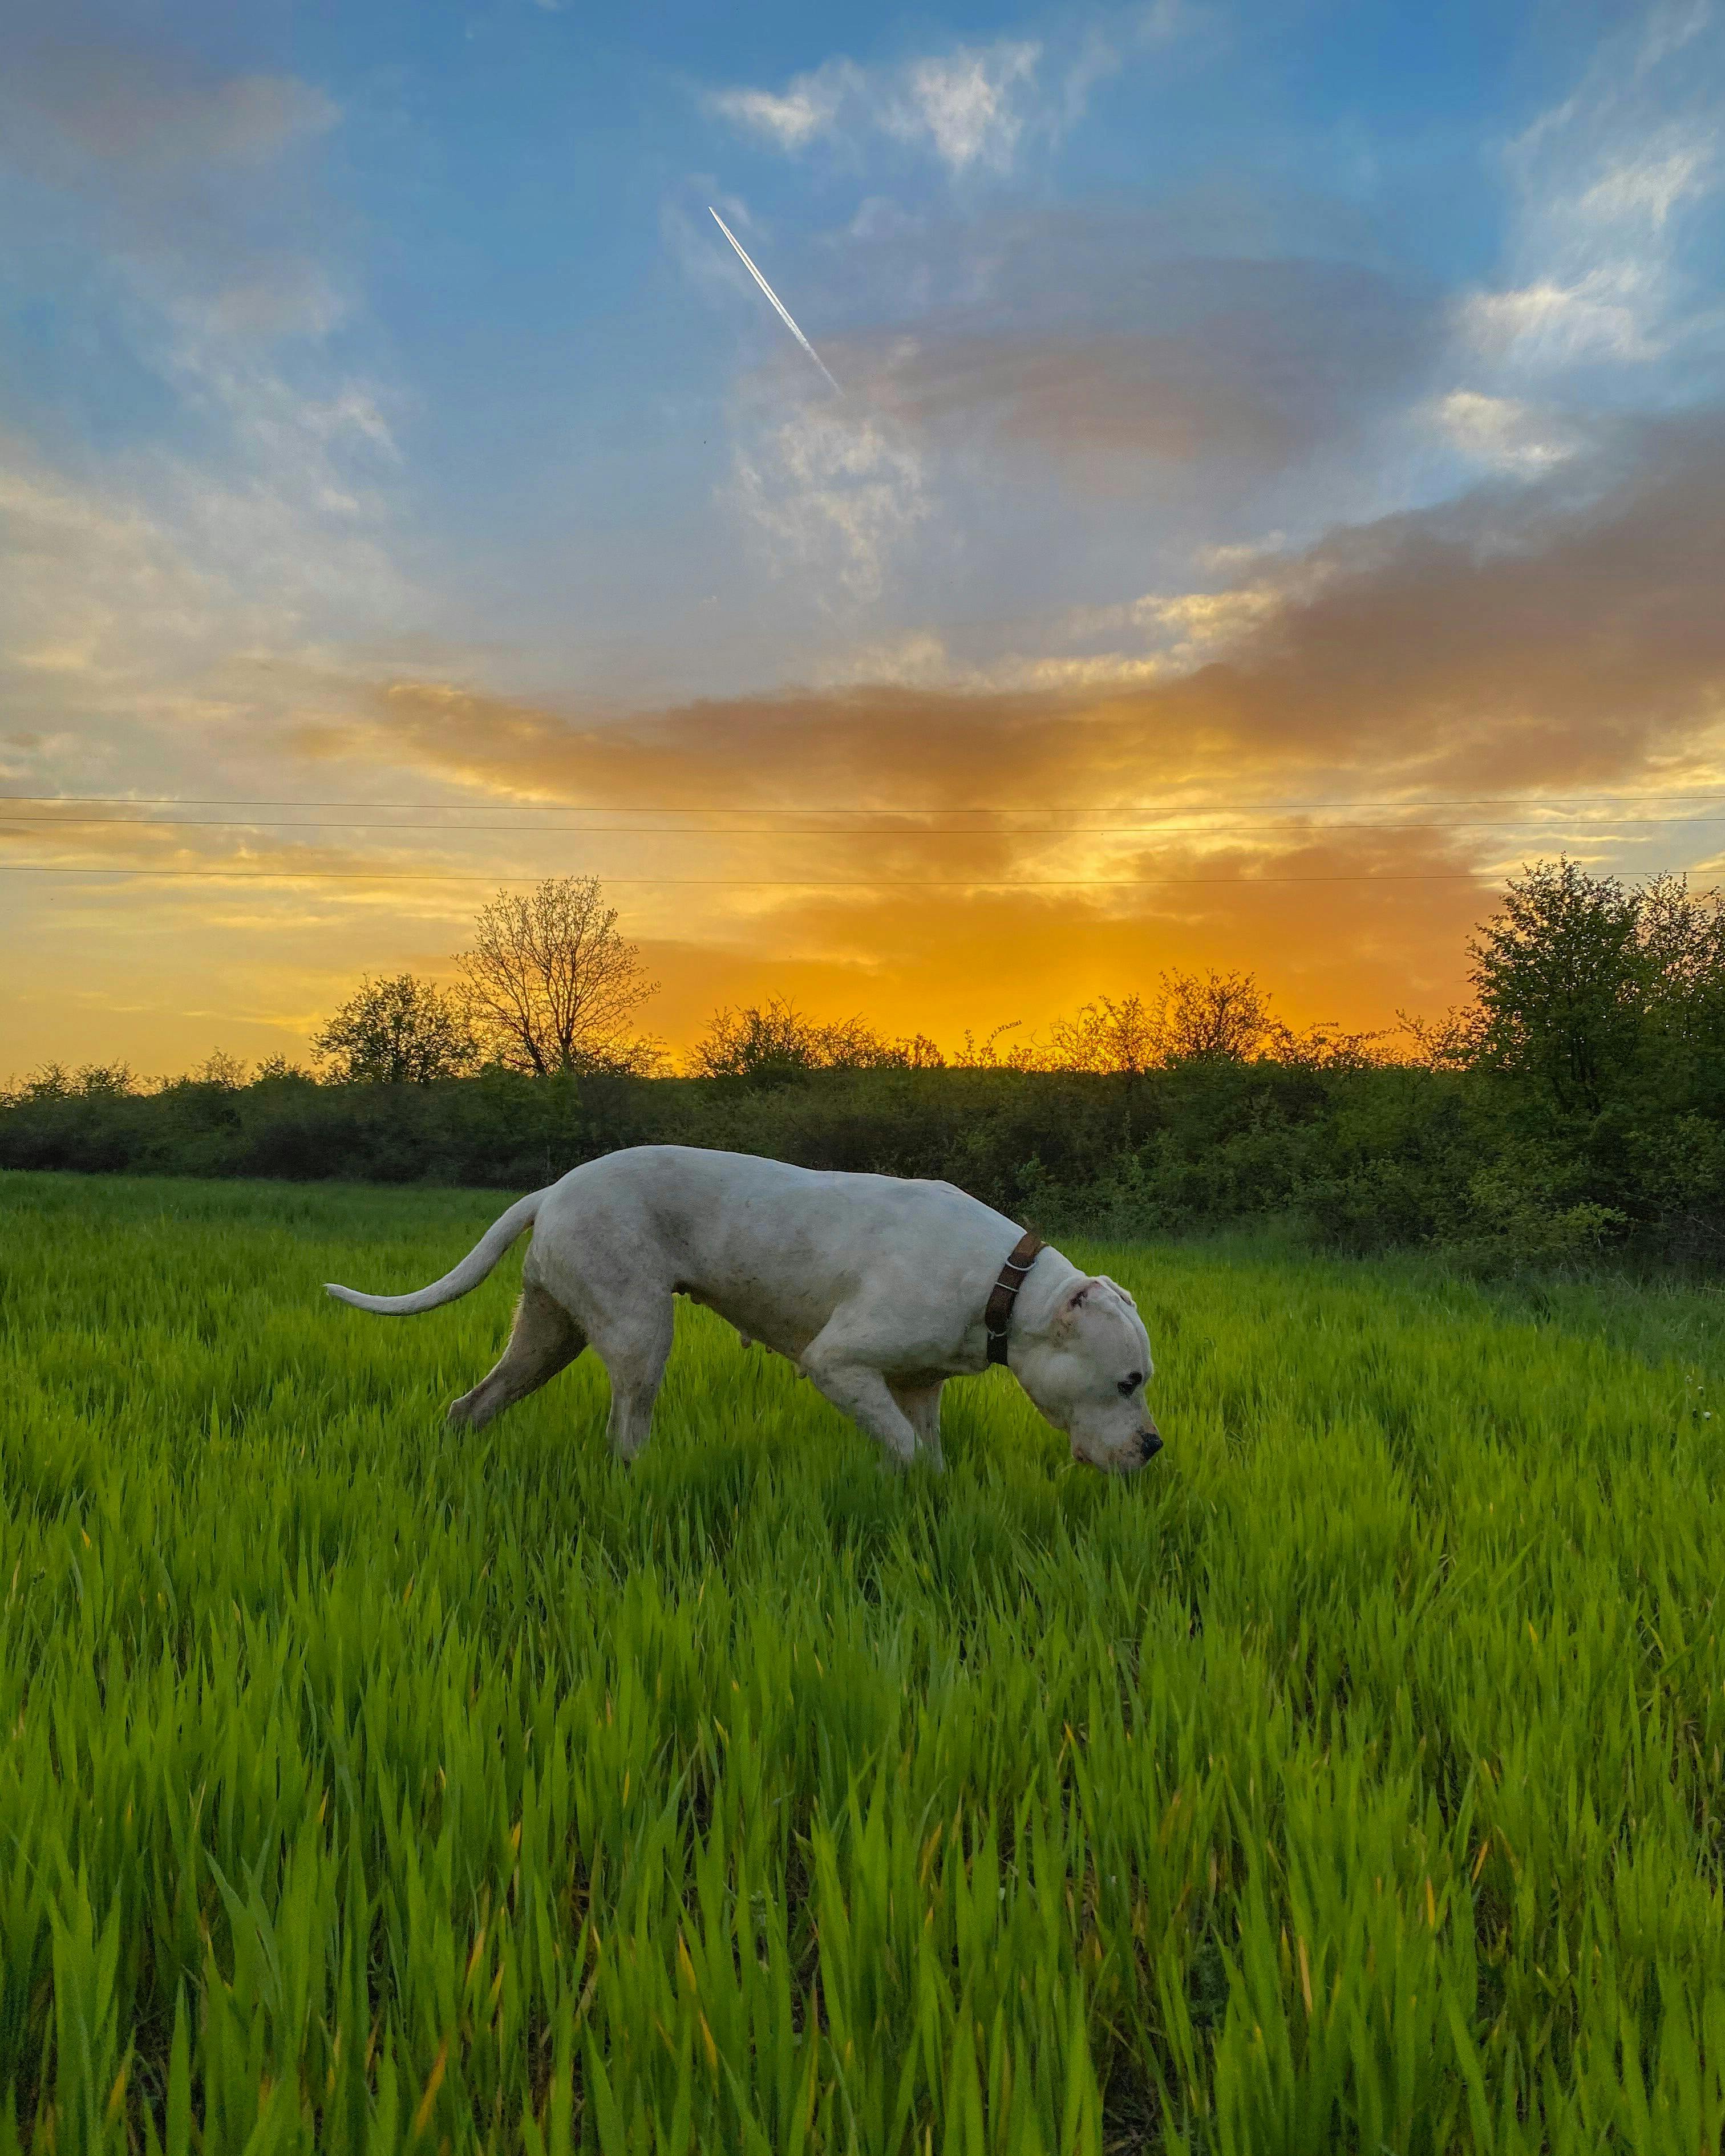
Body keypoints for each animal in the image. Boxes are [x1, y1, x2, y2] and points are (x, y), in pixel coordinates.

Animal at [327, 1156, 1156, 1474]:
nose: (1153, 1448)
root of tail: (553, 1190)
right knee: (625, 1432)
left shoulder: (918, 1388)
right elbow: (907, 1451)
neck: (1006, 1286)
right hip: (638, 1335)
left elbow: (924, 1451)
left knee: (472, 1405)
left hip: (547, 1334)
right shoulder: (838, 1365)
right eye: (1128, 1382)